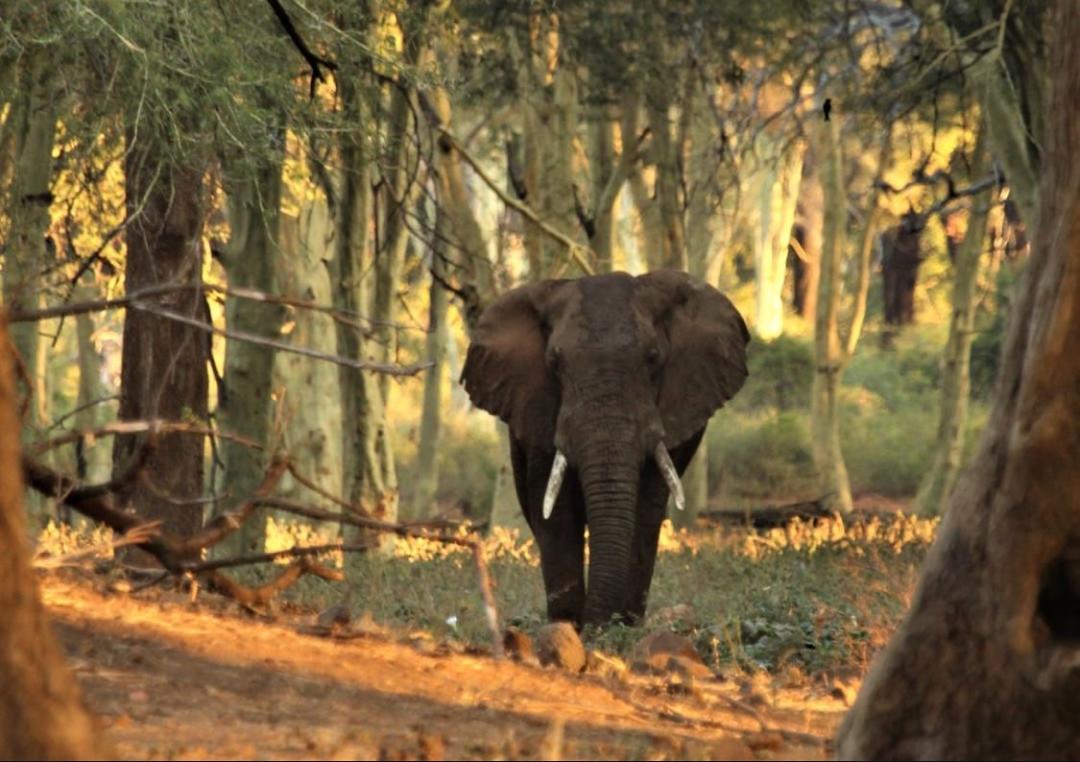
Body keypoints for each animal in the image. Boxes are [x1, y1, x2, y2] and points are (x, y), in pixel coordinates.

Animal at [461, 270, 750, 627]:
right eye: (554, 361)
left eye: (653, 357)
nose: (597, 622)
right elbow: (555, 511)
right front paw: (569, 625)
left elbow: (645, 507)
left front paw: (620, 625)